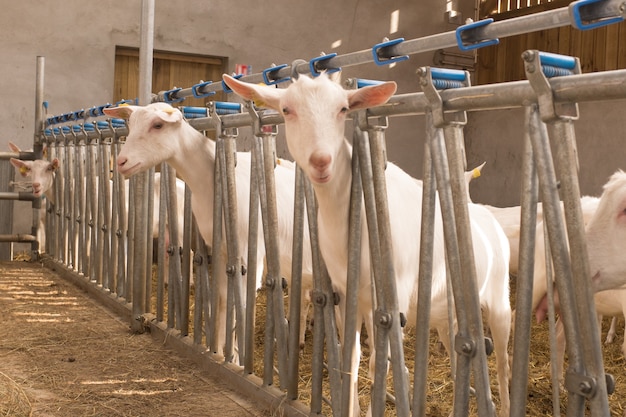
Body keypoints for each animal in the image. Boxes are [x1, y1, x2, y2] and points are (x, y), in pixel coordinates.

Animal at [105, 102, 314, 356]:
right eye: (131, 124)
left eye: (158, 125)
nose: (121, 162)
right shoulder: (222, 248)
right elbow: (224, 298)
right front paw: (222, 350)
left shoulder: (249, 251)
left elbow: (243, 300)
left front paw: (237, 355)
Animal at [224, 72, 512, 416]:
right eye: (286, 110)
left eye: (343, 109)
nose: (321, 161)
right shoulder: (346, 295)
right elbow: (350, 357)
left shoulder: (391, 300)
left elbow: (383, 364)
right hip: (448, 310)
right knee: (460, 350)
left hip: (499, 298)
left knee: (503, 360)